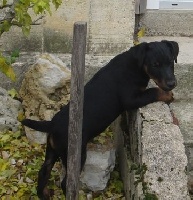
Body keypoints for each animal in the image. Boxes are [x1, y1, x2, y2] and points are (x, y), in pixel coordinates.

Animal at [21, 39, 179, 199]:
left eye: (171, 61)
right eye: (155, 65)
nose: (172, 83)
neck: (136, 65)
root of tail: (52, 124)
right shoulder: (130, 99)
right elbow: (153, 91)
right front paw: (168, 95)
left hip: (53, 149)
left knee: (44, 170)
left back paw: (44, 194)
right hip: (74, 154)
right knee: (65, 183)